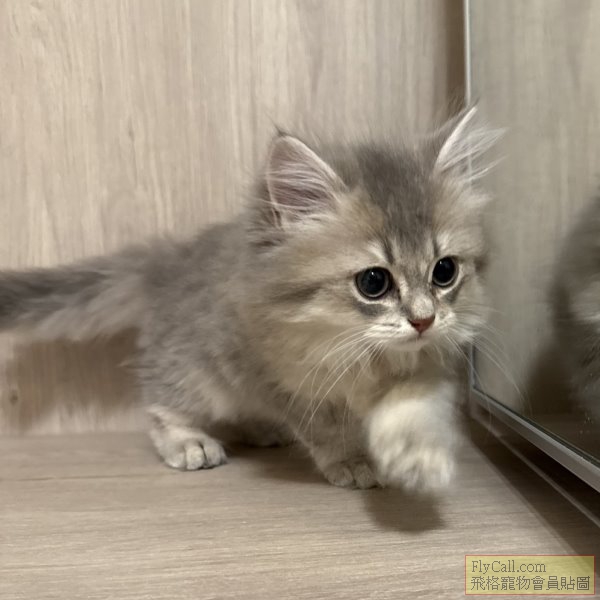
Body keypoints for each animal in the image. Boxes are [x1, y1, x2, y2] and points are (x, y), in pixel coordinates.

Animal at [0, 106, 497, 491]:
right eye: (373, 282)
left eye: (444, 271)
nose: (424, 320)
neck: (357, 351)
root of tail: (173, 260)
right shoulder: (269, 372)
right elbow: (326, 427)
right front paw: (352, 461)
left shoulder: (423, 364)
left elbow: (415, 405)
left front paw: (418, 454)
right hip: (196, 371)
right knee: (162, 401)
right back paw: (188, 441)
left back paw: (260, 428)